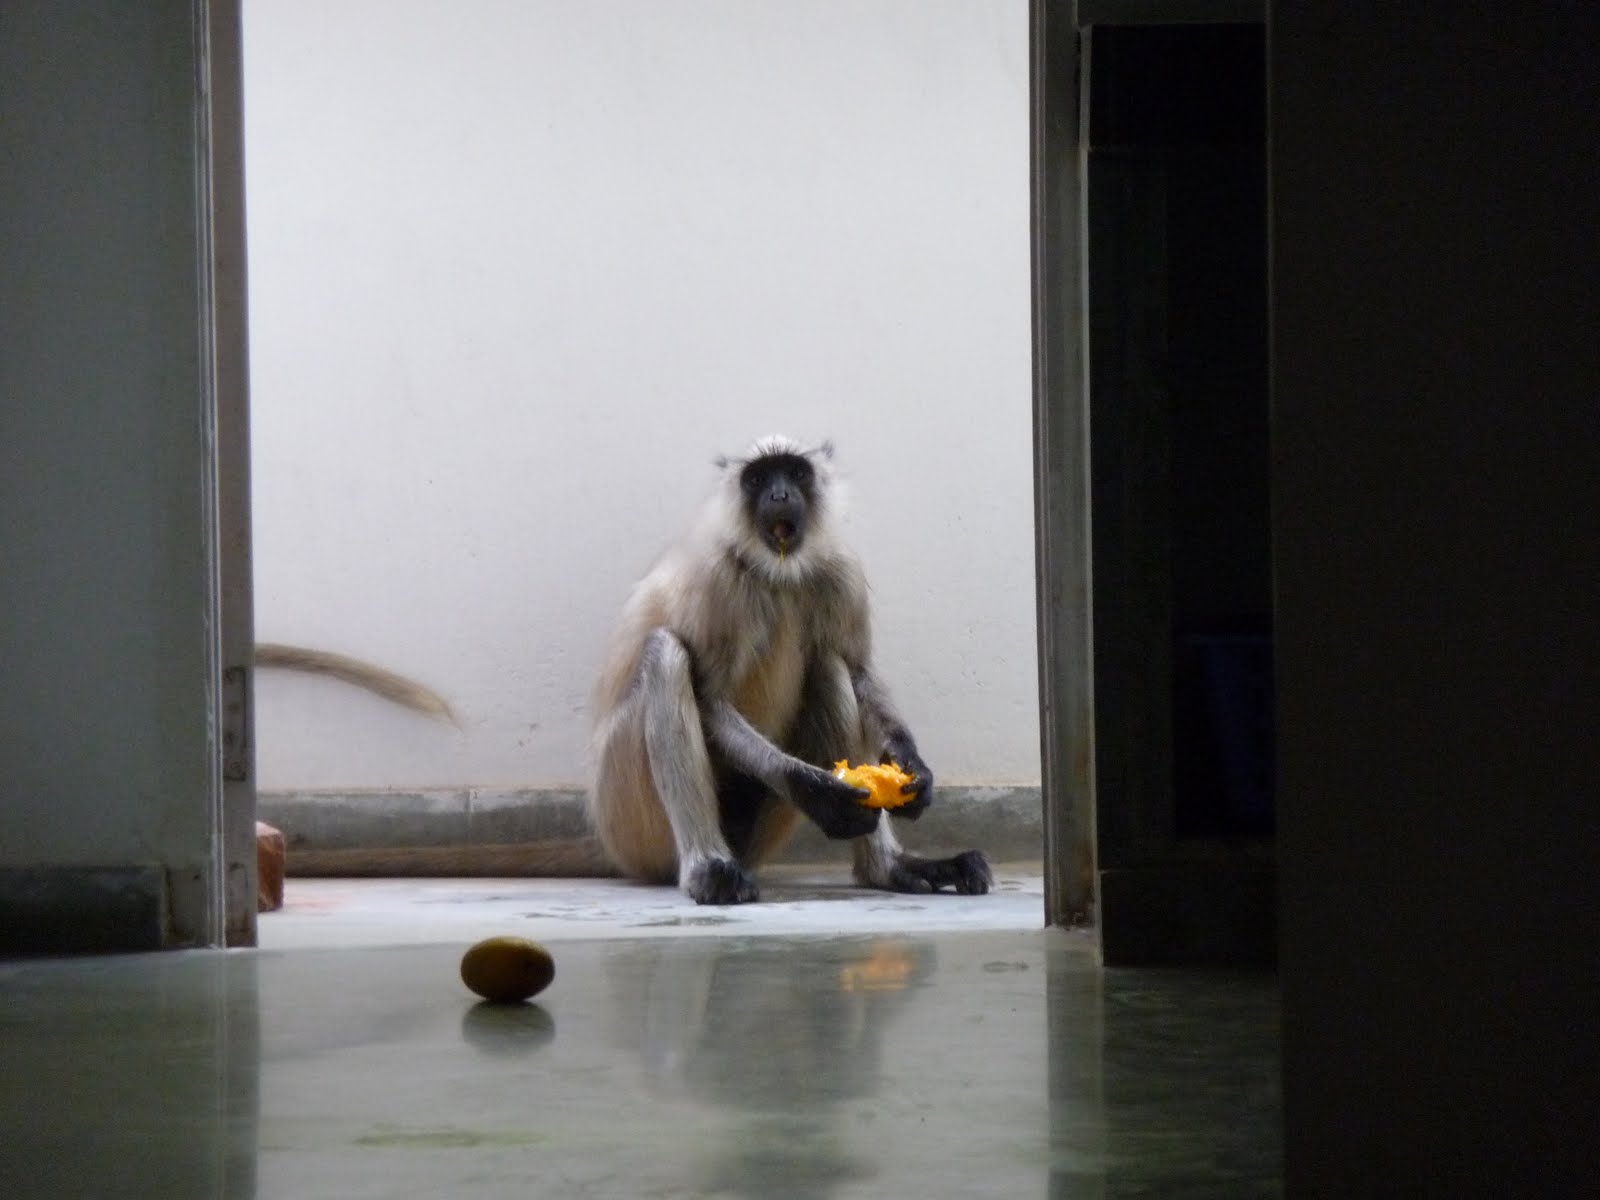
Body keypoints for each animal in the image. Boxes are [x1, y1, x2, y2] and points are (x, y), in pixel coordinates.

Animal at [586, 434, 993, 905]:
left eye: (795, 473)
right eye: (758, 478)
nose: (779, 495)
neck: (777, 571)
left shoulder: (841, 568)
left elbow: (858, 671)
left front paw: (911, 763)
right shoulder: (715, 579)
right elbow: (708, 699)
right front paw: (813, 790)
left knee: (828, 665)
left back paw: (888, 869)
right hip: (628, 821)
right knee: (664, 655)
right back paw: (707, 869)